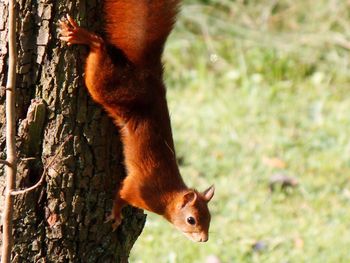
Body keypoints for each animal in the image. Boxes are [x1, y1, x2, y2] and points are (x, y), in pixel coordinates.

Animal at [58, 0, 215, 243]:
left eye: (209, 218)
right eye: (192, 220)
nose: (203, 239)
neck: (167, 194)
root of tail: (148, 75)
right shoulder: (139, 189)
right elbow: (121, 195)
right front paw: (115, 215)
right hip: (110, 88)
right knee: (100, 49)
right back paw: (83, 36)